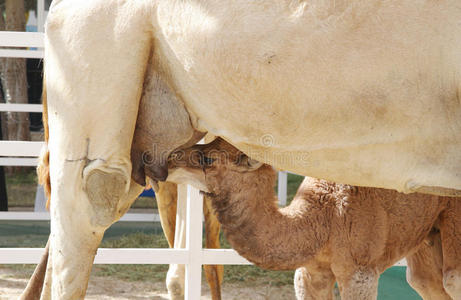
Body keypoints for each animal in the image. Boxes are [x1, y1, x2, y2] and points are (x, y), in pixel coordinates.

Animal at [167, 139, 458, 300]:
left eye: (208, 158)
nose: (169, 158)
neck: (323, 220)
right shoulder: (311, 271)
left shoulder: (360, 272)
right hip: (426, 233)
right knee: (425, 282)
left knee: (451, 281)